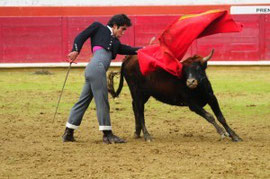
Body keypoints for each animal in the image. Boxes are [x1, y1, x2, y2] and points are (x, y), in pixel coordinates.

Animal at [107, 49, 243, 142]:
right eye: (185, 71)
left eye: (198, 69)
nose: (190, 82)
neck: (198, 88)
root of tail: (129, 57)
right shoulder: (192, 104)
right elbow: (210, 116)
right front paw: (222, 132)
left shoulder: (212, 98)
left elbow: (221, 117)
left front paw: (235, 136)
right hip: (137, 91)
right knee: (140, 111)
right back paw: (147, 135)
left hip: (144, 94)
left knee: (135, 107)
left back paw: (137, 132)